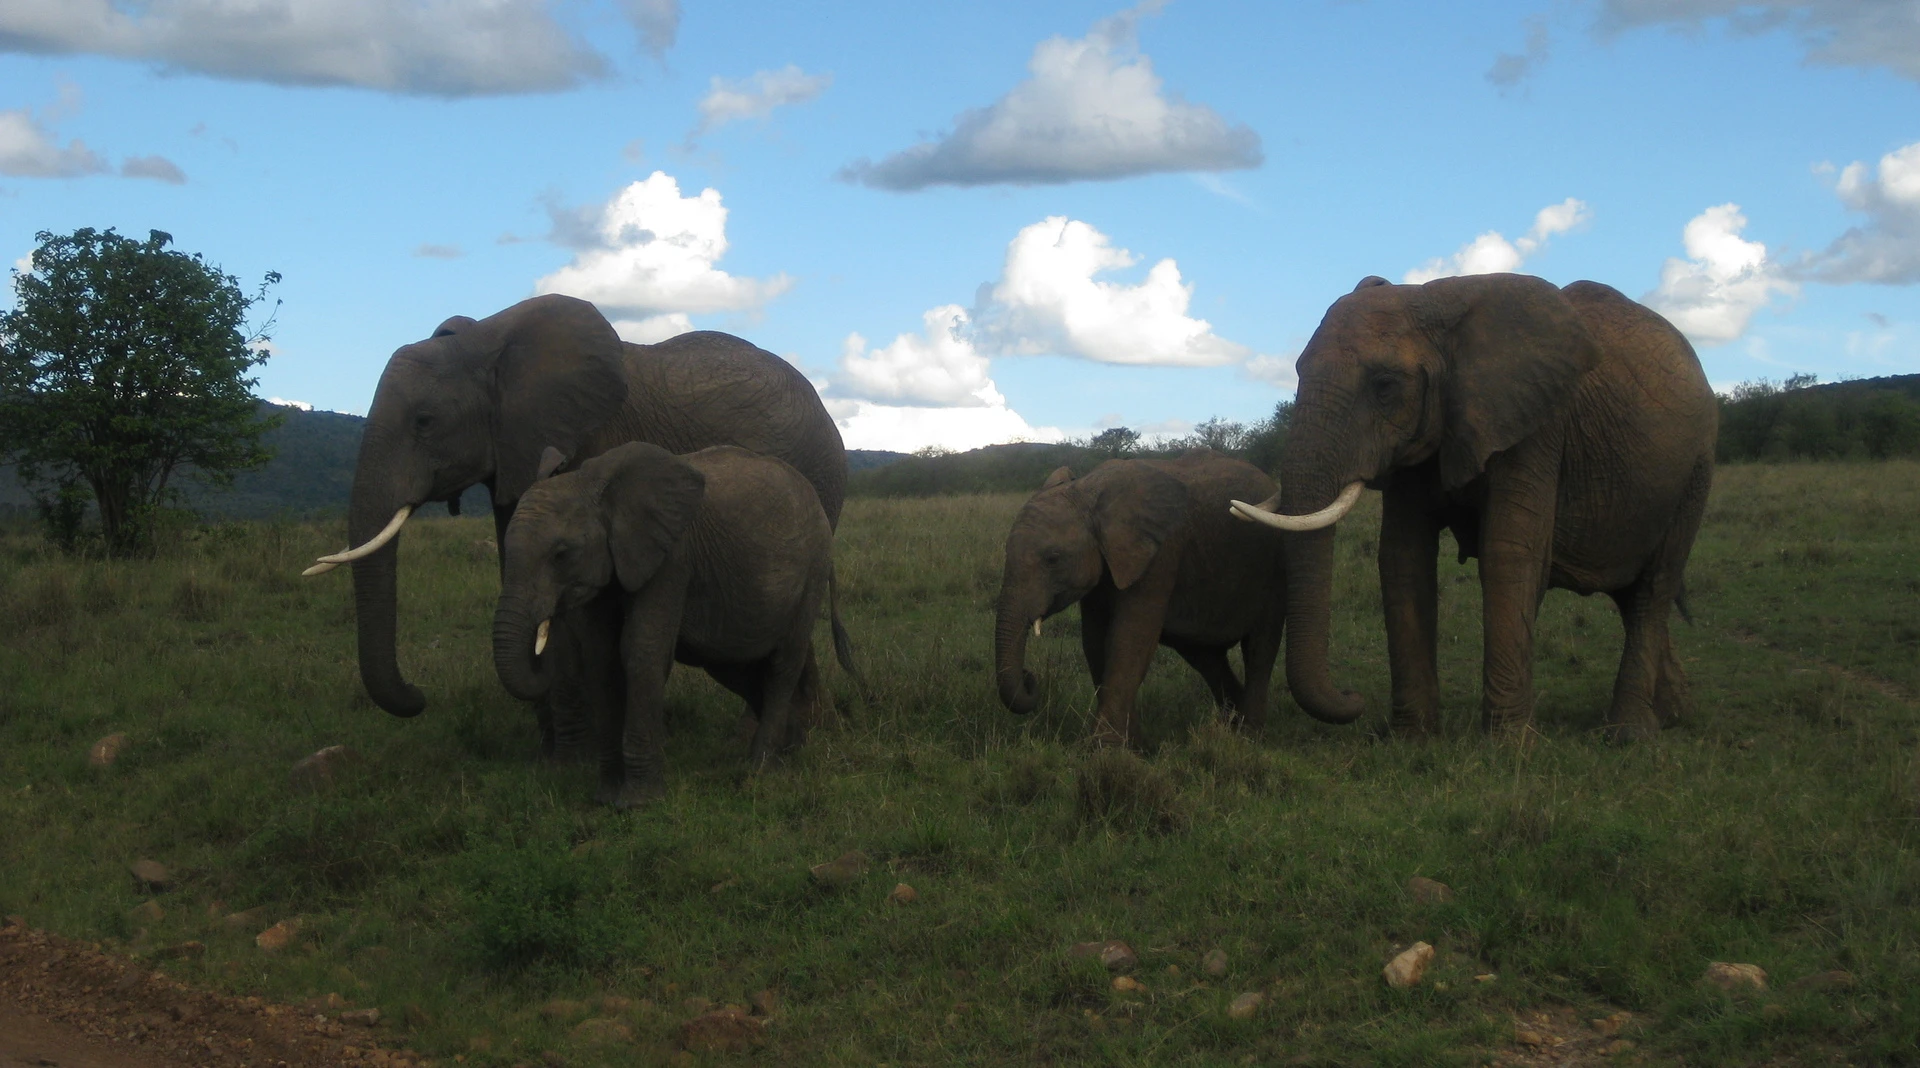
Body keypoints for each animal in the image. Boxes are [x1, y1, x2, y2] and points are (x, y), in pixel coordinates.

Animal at [495, 437, 848, 806]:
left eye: (561, 555)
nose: (545, 627)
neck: (594, 482)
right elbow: (601, 660)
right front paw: (605, 798)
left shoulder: (673, 558)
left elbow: (641, 653)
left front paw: (638, 803)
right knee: (735, 665)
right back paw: (790, 749)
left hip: (812, 570)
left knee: (782, 665)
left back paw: (760, 768)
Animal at [998, 447, 1313, 741]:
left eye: (1053, 559)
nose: (1029, 677)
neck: (1088, 490)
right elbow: (1095, 641)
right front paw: (1134, 744)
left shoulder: (1161, 553)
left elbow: (1130, 637)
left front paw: (1104, 748)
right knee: (1205, 656)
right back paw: (1231, 725)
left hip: (1275, 570)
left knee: (1260, 647)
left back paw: (1249, 735)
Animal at [1236, 274, 1720, 741]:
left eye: (1385, 386)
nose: (1353, 698)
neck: (1439, 301)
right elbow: (1403, 557)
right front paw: (1411, 738)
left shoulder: (1536, 424)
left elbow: (1508, 553)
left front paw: (1508, 746)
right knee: (1630, 593)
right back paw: (1674, 715)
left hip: (1696, 468)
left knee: (1653, 589)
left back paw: (1629, 734)